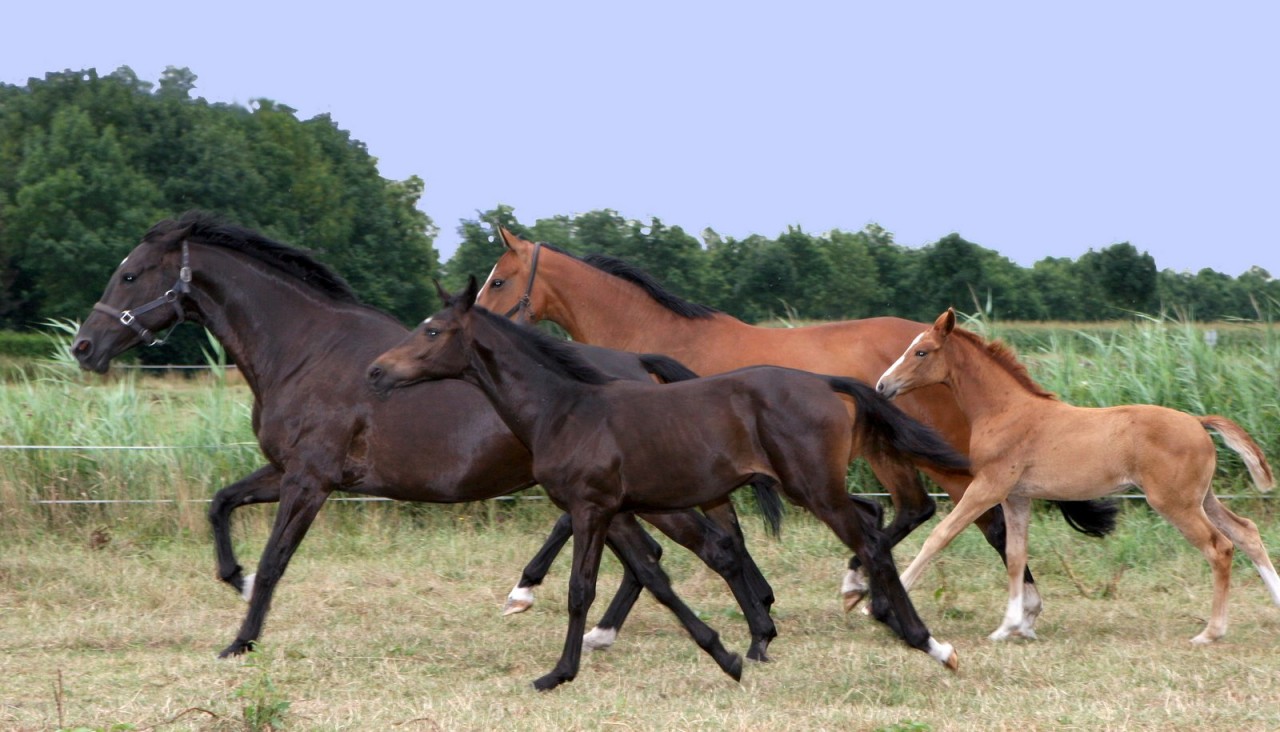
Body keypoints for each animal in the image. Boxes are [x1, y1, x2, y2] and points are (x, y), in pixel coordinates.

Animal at [69, 211, 783, 665]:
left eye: (130, 275)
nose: (83, 347)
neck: (305, 349)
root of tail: (640, 364)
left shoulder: (310, 481)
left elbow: (275, 561)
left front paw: (240, 639)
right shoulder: (288, 472)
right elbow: (220, 505)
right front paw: (234, 581)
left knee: (714, 548)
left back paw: (753, 638)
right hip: (623, 503)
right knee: (662, 558)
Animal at [367, 276, 972, 690]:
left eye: (432, 330)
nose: (376, 371)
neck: (566, 409)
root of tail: (826, 381)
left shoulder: (590, 507)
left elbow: (581, 589)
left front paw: (557, 671)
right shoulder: (622, 509)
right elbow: (654, 576)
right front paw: (727, 654)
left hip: (814, 489)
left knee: (873, 538)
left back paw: (928, 642)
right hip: (814, 487)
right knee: (874, 521)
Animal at [475, 228, 1116, 629]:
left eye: (499, 281)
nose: (477, 326)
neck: (651, 345)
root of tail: (945, 339)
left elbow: (572, 519)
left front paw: (522, 592)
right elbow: (721, 532)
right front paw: (761, 600)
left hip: (920, 454)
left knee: (971, 517)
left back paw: (1006, 604)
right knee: (922, 511)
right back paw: (867, 585)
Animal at [876, 308, 1280, 643]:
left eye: (922, 351)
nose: (882, 386)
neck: (1005, 410)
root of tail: (1198, 421)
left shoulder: (989, 487)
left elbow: (939, 537)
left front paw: (882, 600)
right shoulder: (1017, 496)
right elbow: (1016, 554)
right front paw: (1010, 627)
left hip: (1174, 503)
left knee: (1220, 547)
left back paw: (1210, 632)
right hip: (1201, 498)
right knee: (1246, 532)